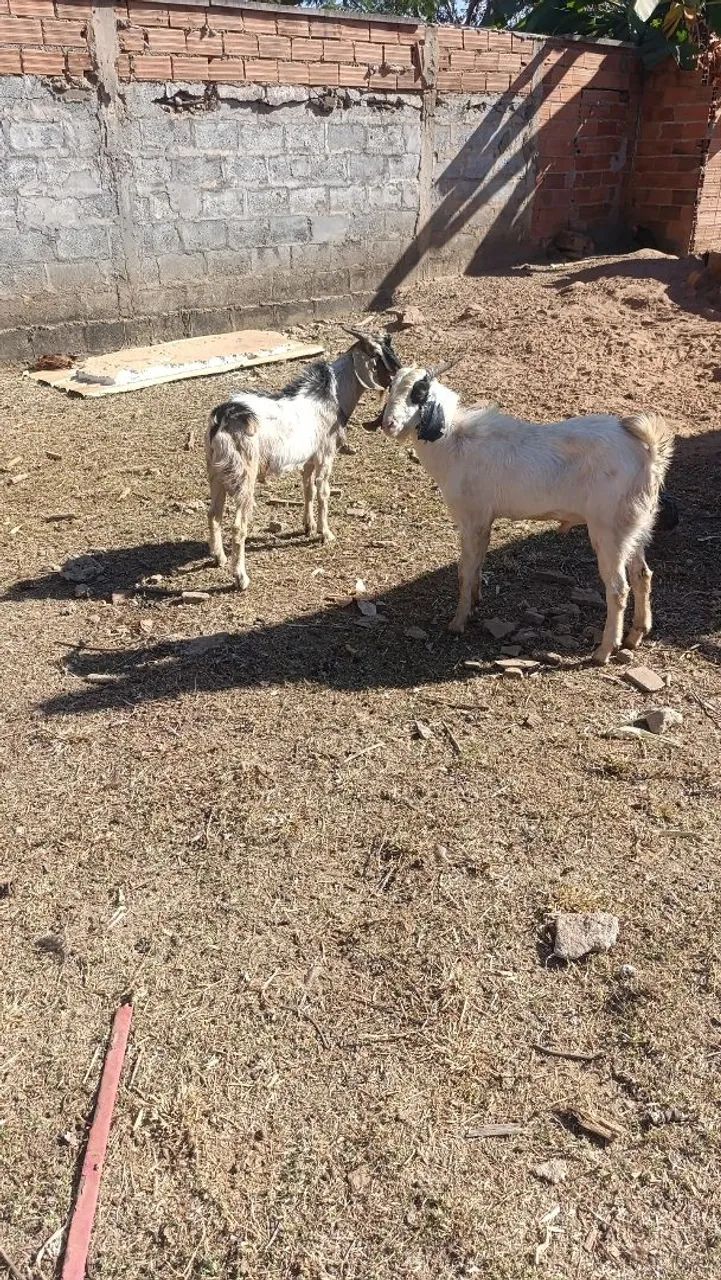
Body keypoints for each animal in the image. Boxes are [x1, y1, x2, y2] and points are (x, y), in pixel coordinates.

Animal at [205, 328, 400, 589]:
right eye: (378, 354)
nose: (399, 371)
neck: (333, 396)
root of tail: (223, 418)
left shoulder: (308, 458)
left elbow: (308, 488)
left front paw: (308, 527)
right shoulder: (326, 454)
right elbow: (323, 491)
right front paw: (326, 533)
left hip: (215, 473)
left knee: (213, 514)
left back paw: (219, 558)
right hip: (244, 475)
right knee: (238, 526)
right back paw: (241, 578)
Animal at [379, 364, 675, 664]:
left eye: (419, 393)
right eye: (390, 388)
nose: (388, 424)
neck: (455, 441)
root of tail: (648, 452)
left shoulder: (472, 518)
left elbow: (465, 569)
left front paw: (458, 622)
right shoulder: (484, 521)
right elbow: (477, 564)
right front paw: (474, 604)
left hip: (608, 530)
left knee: (617, 589)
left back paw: (604, 651)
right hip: (636, 526)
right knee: (642, 574)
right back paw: (636, 635)